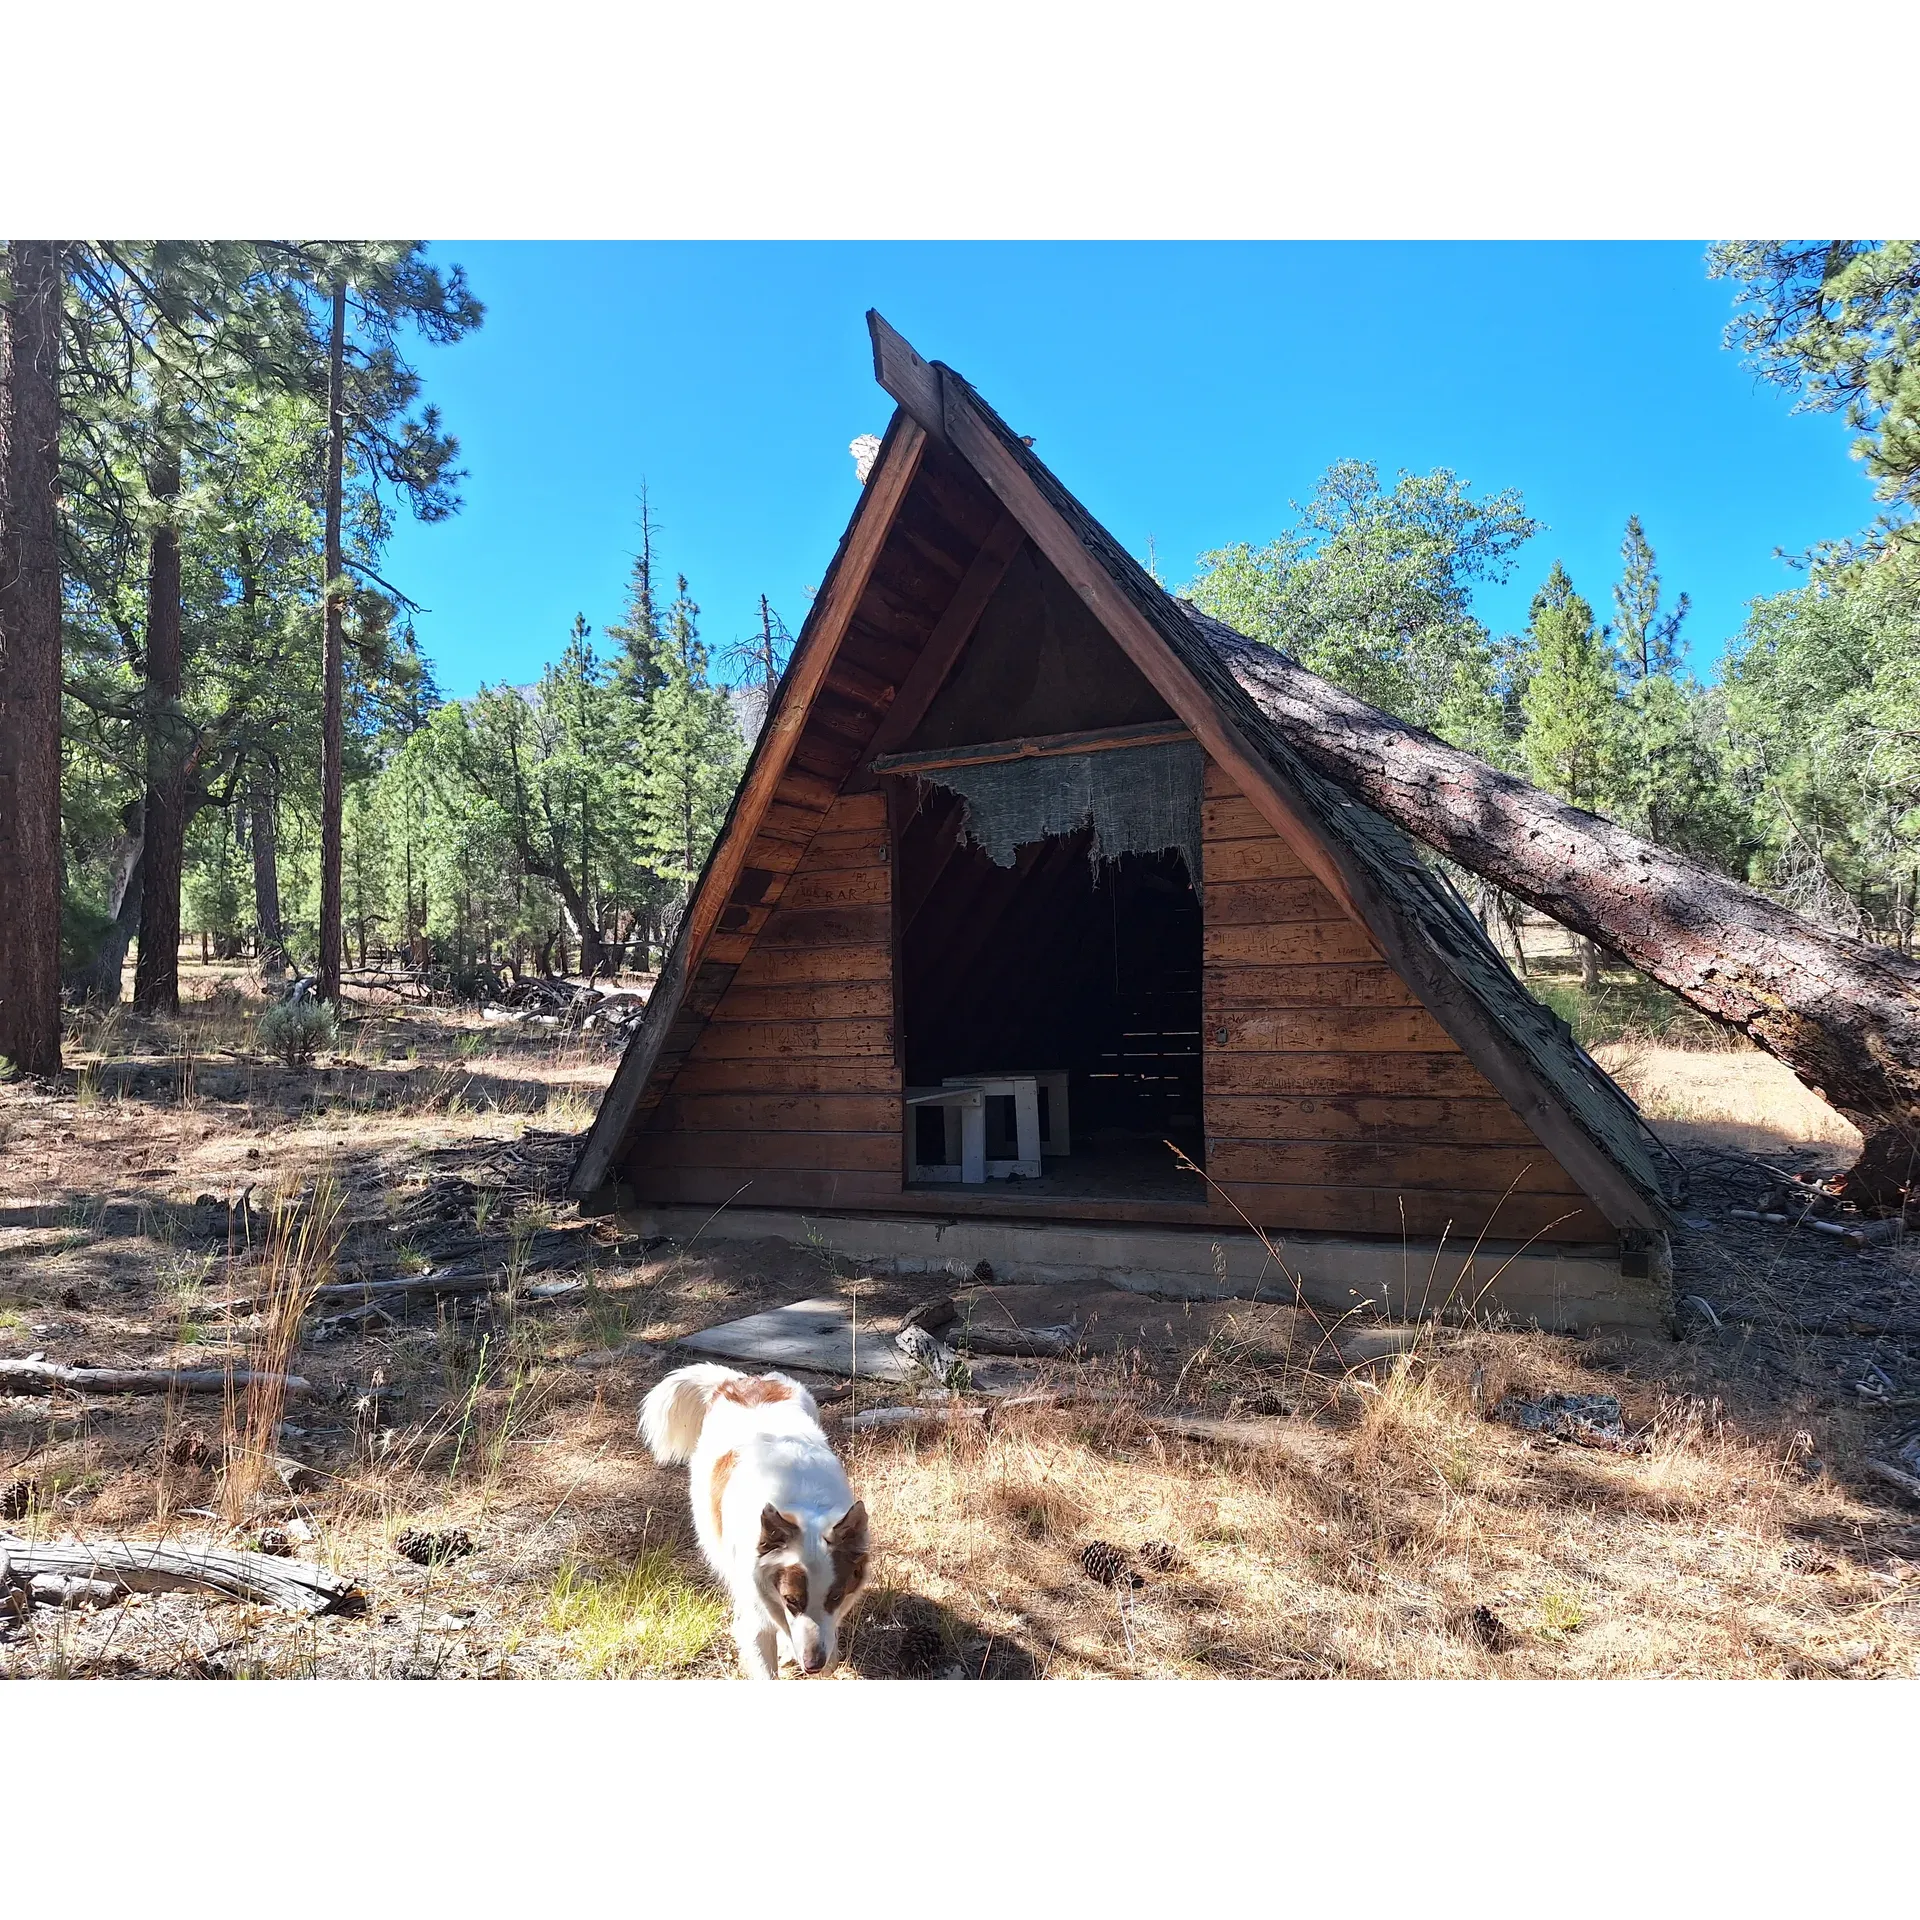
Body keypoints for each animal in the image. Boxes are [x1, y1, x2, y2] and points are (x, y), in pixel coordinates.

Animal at [641, 1367, 875, 1681]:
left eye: (835, 1596)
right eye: (791, 1600)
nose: (813, 1665)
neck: (801, 1502)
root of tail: (741, 1380)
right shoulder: (757, 1615)